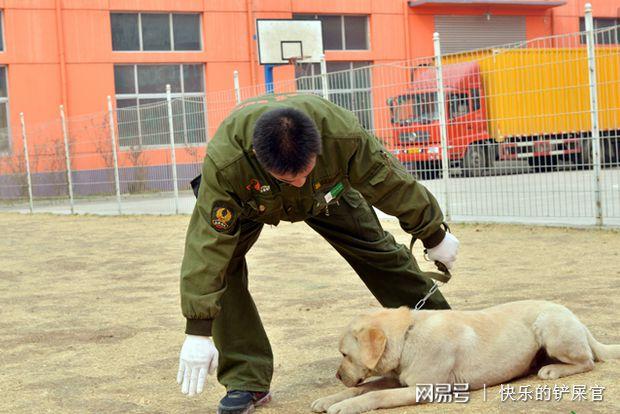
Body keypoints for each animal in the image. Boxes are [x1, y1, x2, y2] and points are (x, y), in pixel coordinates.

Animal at [312, 300, 616, 414]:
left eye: (344, 354)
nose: (337, 375)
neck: (409, 335)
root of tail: (575, 317)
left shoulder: (426, 389)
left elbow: (376, 394)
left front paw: (346, 406)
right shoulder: (399, 380)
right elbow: (365, 388)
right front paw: (330, 399)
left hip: (551, 329)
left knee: (587, 361)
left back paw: (552, 369)